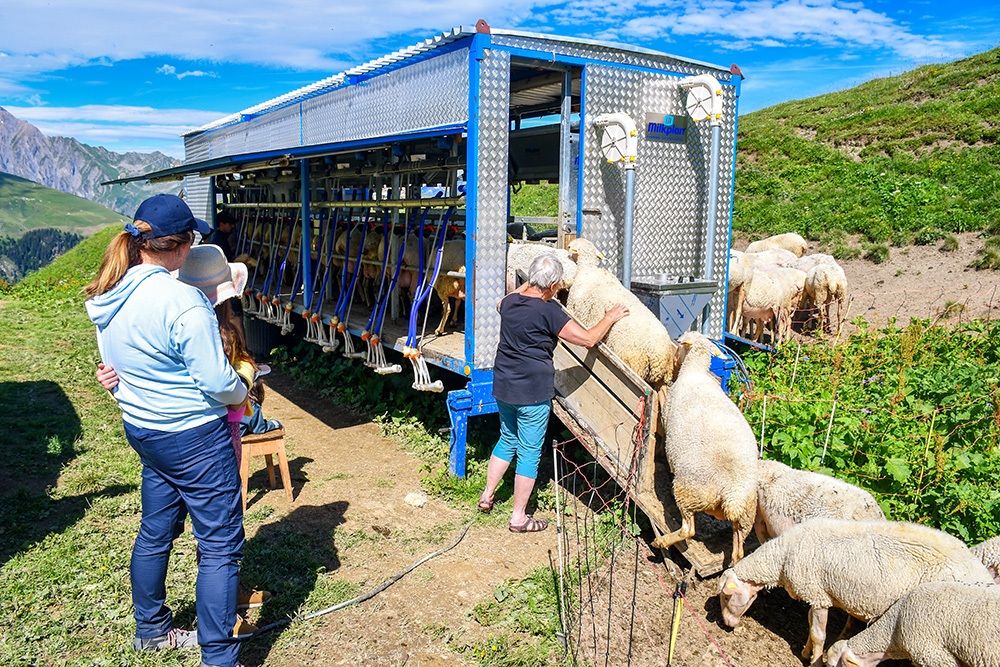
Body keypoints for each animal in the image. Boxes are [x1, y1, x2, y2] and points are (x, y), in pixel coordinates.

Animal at [568, 239, 676, 386]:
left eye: (569, 247)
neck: (587, 269)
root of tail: (659, 355)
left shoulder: (572, 307)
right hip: (663, 377)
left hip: (635, 364)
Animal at [648, 332, 756, 568]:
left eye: (681, 345)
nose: (675, 361)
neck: (696, 371)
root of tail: (732, 493)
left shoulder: (666, 414)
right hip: (745, 517)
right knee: (738, 552)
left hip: (688, 492)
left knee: (688, 530)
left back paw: (661, 542)